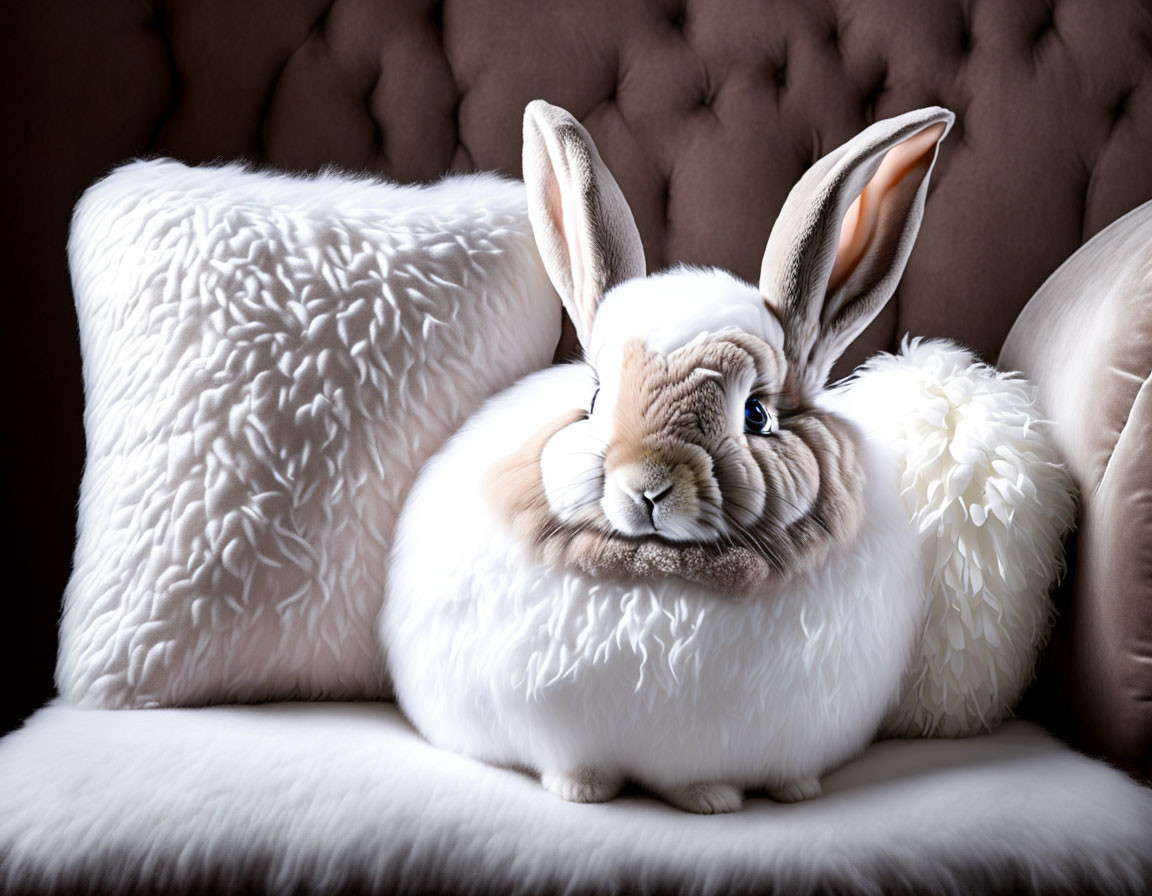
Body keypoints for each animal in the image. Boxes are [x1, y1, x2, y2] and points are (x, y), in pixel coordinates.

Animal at [380, 97, 953, 810]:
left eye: (757, 414)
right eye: (596, 399)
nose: (648, 485)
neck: (664, 566)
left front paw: (739, 797)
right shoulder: (556, 727)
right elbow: (576, 763)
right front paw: (588, 793)